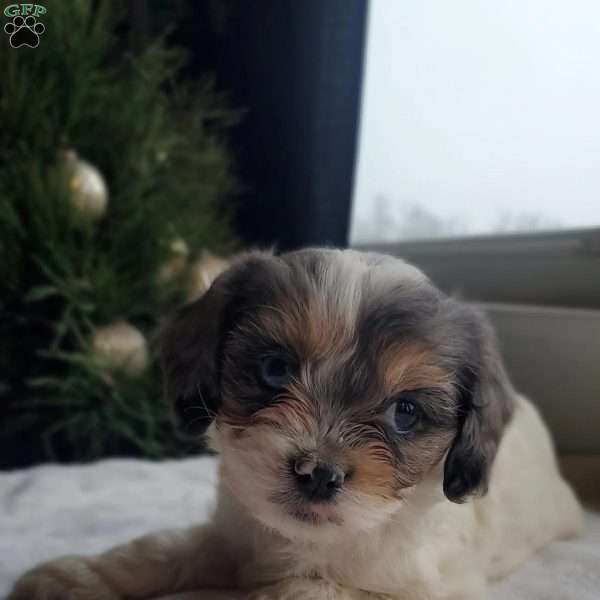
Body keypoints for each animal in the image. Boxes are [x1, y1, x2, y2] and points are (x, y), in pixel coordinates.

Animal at [8, 248, 580, 600]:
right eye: (275, 369)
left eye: (405, 413)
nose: (318, 474)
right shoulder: (229, 537)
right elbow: (164, 547)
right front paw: (75, 577)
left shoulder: (436, 588)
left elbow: (317, 589)